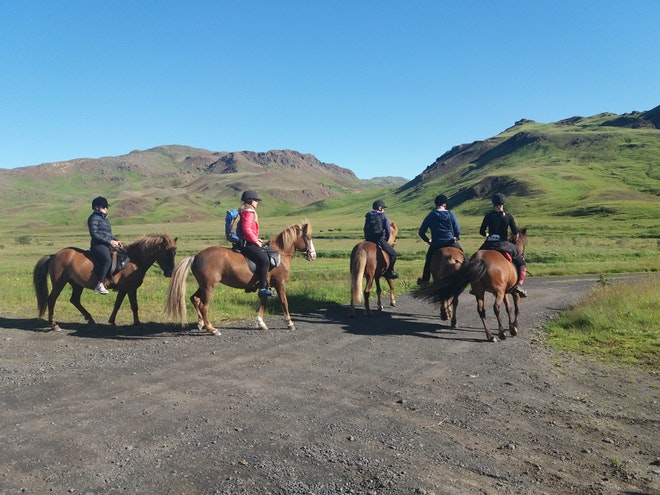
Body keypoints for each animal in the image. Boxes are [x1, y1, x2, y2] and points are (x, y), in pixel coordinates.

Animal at [32, 233, 178, 334]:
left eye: (175, 253)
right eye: (167, 253)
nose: (170, 272)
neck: (133, 261)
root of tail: (54, 255)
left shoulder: (123, 289)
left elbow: (117, 304)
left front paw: (112, 321)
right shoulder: (130, 289)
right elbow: (134, 306)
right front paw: (138, 324)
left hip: (76, 284)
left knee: (74, 300)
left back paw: (90, 319)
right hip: (59, 283)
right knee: (52, 300)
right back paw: (54, 325)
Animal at [168, 223, 318, 336]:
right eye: (308, 237)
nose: (313, 255)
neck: (279, 255)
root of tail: (195, 257)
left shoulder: (265, 286)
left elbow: (263, 302)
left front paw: (261, 323)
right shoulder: (279, 283)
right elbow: (284, 302)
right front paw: (289, 323)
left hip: (203, 286)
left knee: (194, 299)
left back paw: (201, 323)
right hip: (209, 286)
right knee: (203, 306)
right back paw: (212, 329)